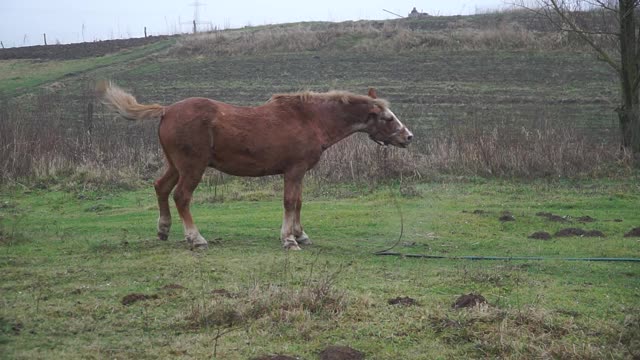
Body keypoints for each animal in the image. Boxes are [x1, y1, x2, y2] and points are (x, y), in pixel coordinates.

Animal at [97, 81, 412, 250]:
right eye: (387, 118)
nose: (408, 137)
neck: (309, 118)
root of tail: (166, 110)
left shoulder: (298, 174)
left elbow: (299, 202)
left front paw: (300, 234)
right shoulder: (293, 171)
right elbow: (290, 202)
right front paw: (289, 239)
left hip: (176, 166)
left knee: (161, 188)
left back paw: (164, 229)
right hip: (192, 167)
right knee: (181, 196)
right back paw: (196, 238)